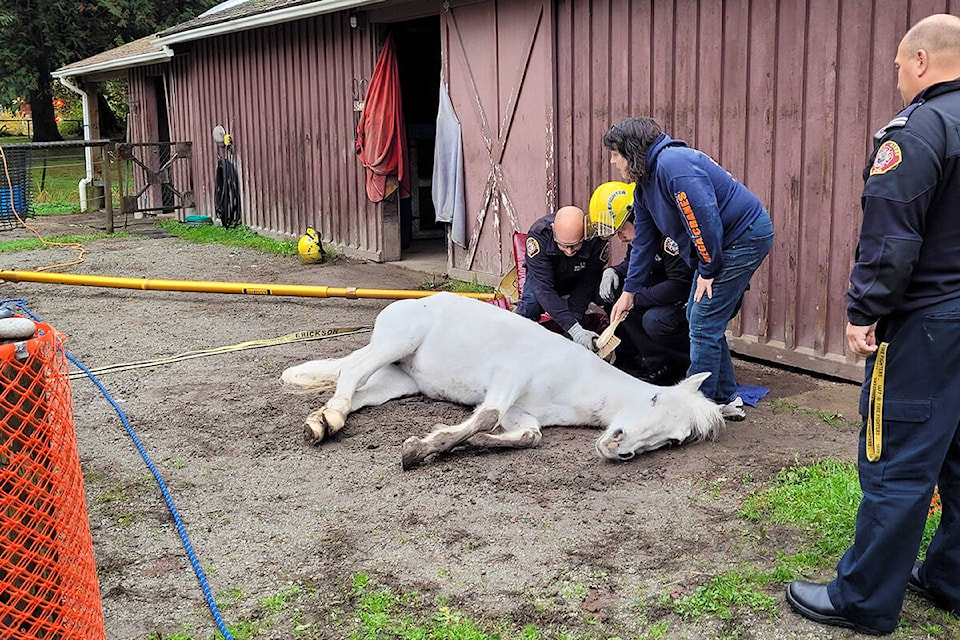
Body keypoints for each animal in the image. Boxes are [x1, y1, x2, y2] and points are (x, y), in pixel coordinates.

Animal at [282, 292, 724, 468]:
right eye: (654, 400)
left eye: (673, 441)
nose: (619, 448)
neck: (574, 380)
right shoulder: (509, 377)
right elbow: (487, 415)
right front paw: (419, 450)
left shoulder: (523, 414)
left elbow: (527, 436)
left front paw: (466, 444)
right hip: (396, 343)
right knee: (353, 370)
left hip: (399, 381)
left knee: (357, 391)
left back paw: (324, 421)